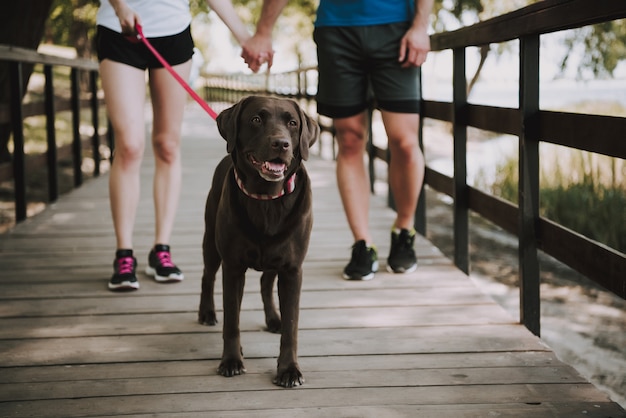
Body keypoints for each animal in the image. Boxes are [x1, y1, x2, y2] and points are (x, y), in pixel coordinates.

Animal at [197, 96, 316, 386]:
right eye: (256, 119)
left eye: (293, 123)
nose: (281, 144)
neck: (267, 200)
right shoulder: (232, 267)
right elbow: (232, 320)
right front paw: (231, 360)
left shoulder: (292, 269)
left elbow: (291, 326)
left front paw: (289, 369)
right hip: (211, 242)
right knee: (207, 276)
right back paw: (207, 313)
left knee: (265, 283)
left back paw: (273, 318)